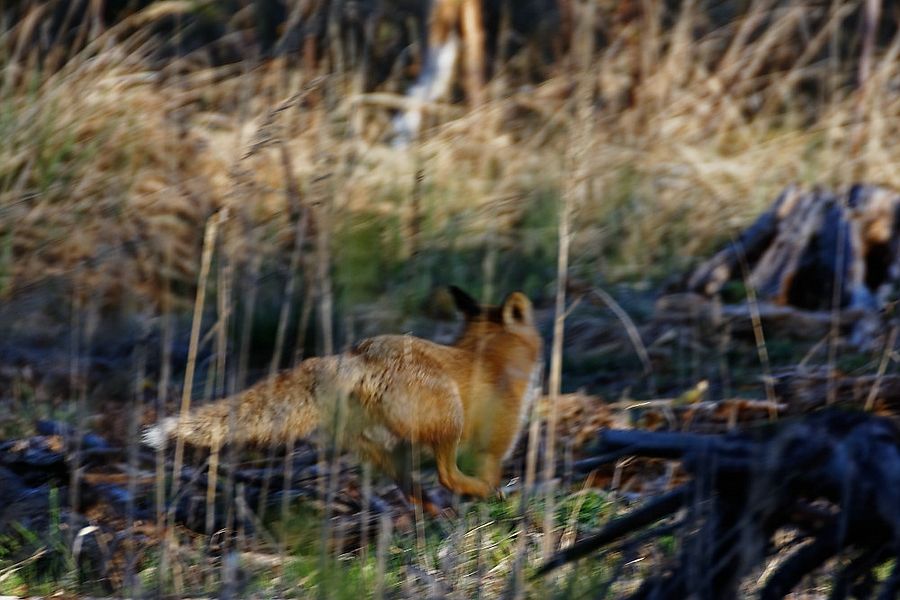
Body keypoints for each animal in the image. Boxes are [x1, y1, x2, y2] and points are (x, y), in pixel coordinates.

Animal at [143, 286, 543, 500]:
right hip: (449, 422)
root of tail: (358, 354)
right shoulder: (493, 446)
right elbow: (490, 473)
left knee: (406, 484)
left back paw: (430, 508)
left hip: (382, 445)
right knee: (445, 475)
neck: (490, 357)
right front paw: (498, 500)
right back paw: (467, 496)